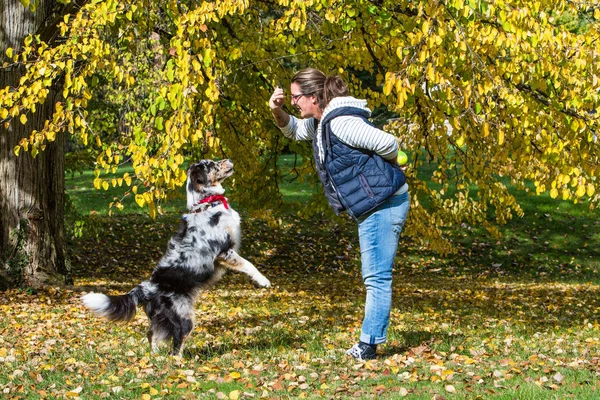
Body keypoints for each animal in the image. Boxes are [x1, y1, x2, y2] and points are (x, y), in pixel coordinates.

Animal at [80, 158, 272, 354]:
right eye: (211, 165)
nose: (229, 159)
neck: (207, 203)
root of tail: (147, 287)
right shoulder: (224, 251)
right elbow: (248, 264)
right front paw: (263, 280)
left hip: (161, 319)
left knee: (151, 334)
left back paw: (155, 356)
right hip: (184, 318)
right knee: (176, 344)